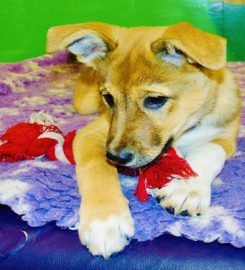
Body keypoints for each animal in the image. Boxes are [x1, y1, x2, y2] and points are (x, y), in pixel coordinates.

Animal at [46, 21, 241, 258]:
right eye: (108, 98)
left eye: (155, 99)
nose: (116, 158)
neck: (184, 128)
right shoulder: (91, 134)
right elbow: (96, 167)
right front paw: (105, 220)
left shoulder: (226, 136)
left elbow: (208, 151)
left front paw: (186, 188)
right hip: (84, 103)